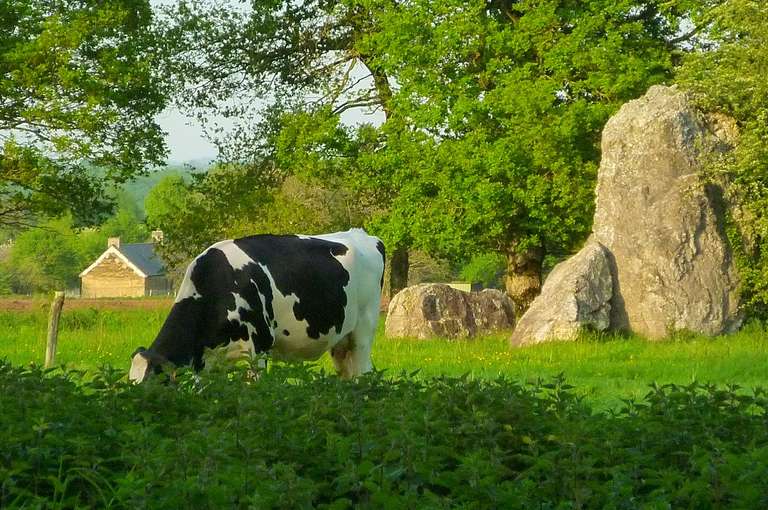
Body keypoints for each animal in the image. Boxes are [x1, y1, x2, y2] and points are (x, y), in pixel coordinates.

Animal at [129, 229, 385, 383]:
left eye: (154, 381)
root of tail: (363, 234)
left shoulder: (259, 347)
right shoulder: (206, 362)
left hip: (363, 331)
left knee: (364, 372)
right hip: (341, 342)